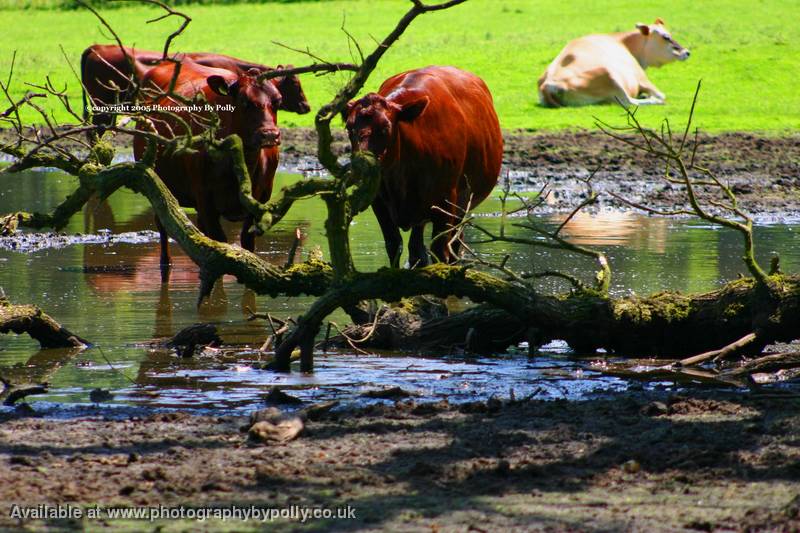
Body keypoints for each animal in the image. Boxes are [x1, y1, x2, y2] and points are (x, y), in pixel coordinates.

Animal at [130, 58, 282, 276]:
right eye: (244, 101)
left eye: (278, 101)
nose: (269, 134)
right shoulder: (204, 196)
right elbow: (219, 244)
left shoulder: (261, 198)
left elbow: (246, 243)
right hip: (157, 187)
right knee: (163, 228)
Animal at [342, 65, 500, 266]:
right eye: (349, 128)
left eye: (386, 128)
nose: (361, 166)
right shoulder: (378, 200)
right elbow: (393, 244)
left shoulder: (445, 200)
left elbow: (439, 249)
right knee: (417, 249)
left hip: (461, 203)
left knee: (454, 243)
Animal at [540, 18, 692, 107]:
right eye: (666, 37)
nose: (687, 52)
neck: (621, 41)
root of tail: (547, 85)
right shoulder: (641, 78)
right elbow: (661, 94)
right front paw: (653, 96)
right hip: (610, 77)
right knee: (630, 102)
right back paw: (655, 101)